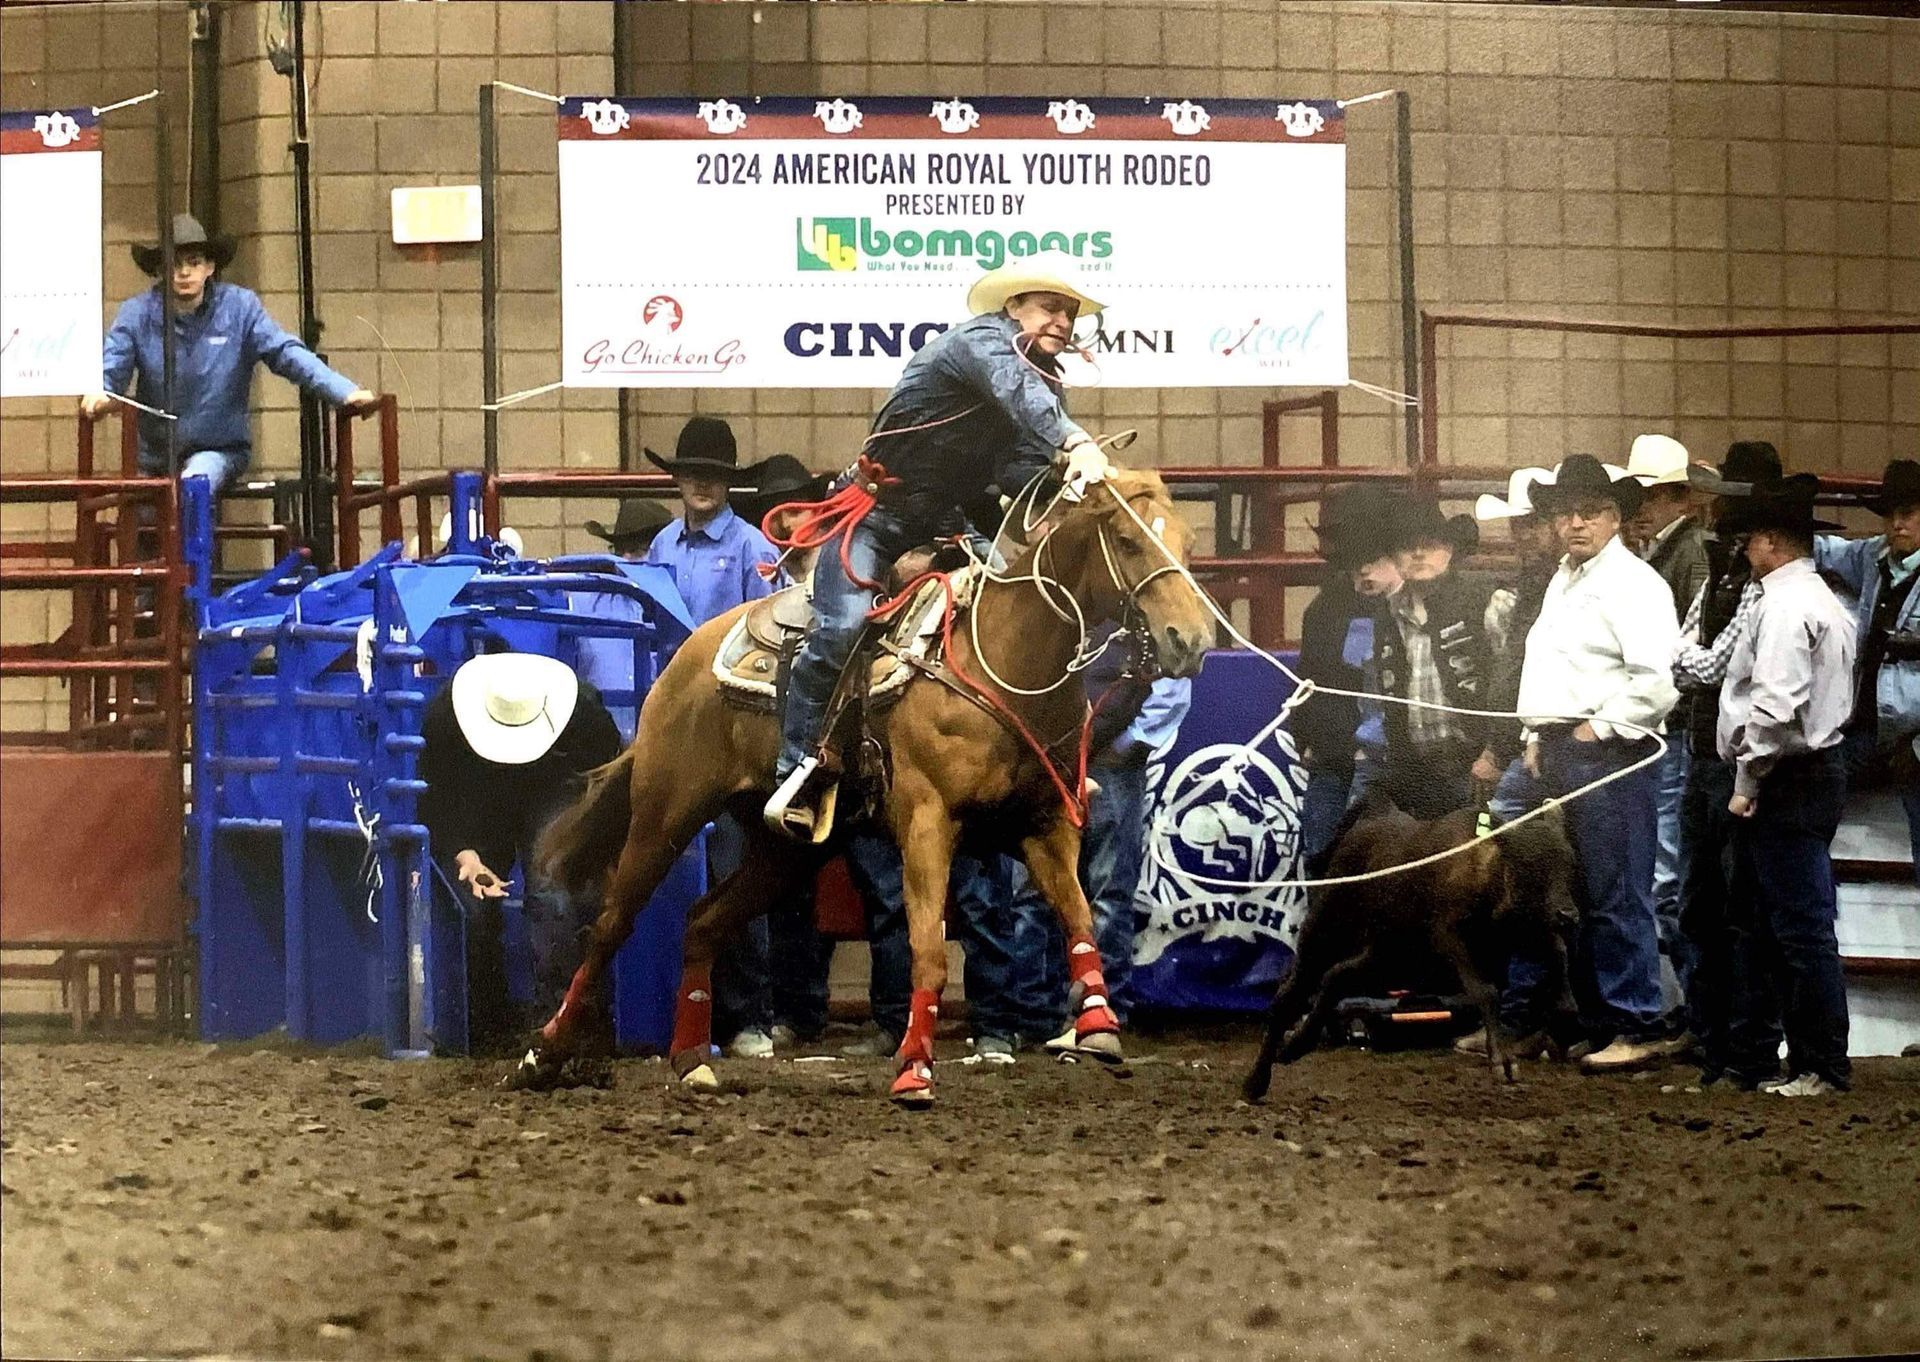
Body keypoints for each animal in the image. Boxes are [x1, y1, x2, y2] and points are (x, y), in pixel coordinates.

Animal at [526, 466, 1213, 1106]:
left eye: (1185, 539)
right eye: (1127, 540)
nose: (1191, 641)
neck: (1005, 662)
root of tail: (683, 657)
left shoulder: (1044, 828)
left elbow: (1080, 921)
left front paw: (1097, 1026)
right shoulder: (927, 825)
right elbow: (928, 952)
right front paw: (914, 1069)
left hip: (787, 851)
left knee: (702, 923)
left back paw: (692, 1061)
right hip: (665, 814)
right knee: (611, 925)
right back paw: (543, 1052)